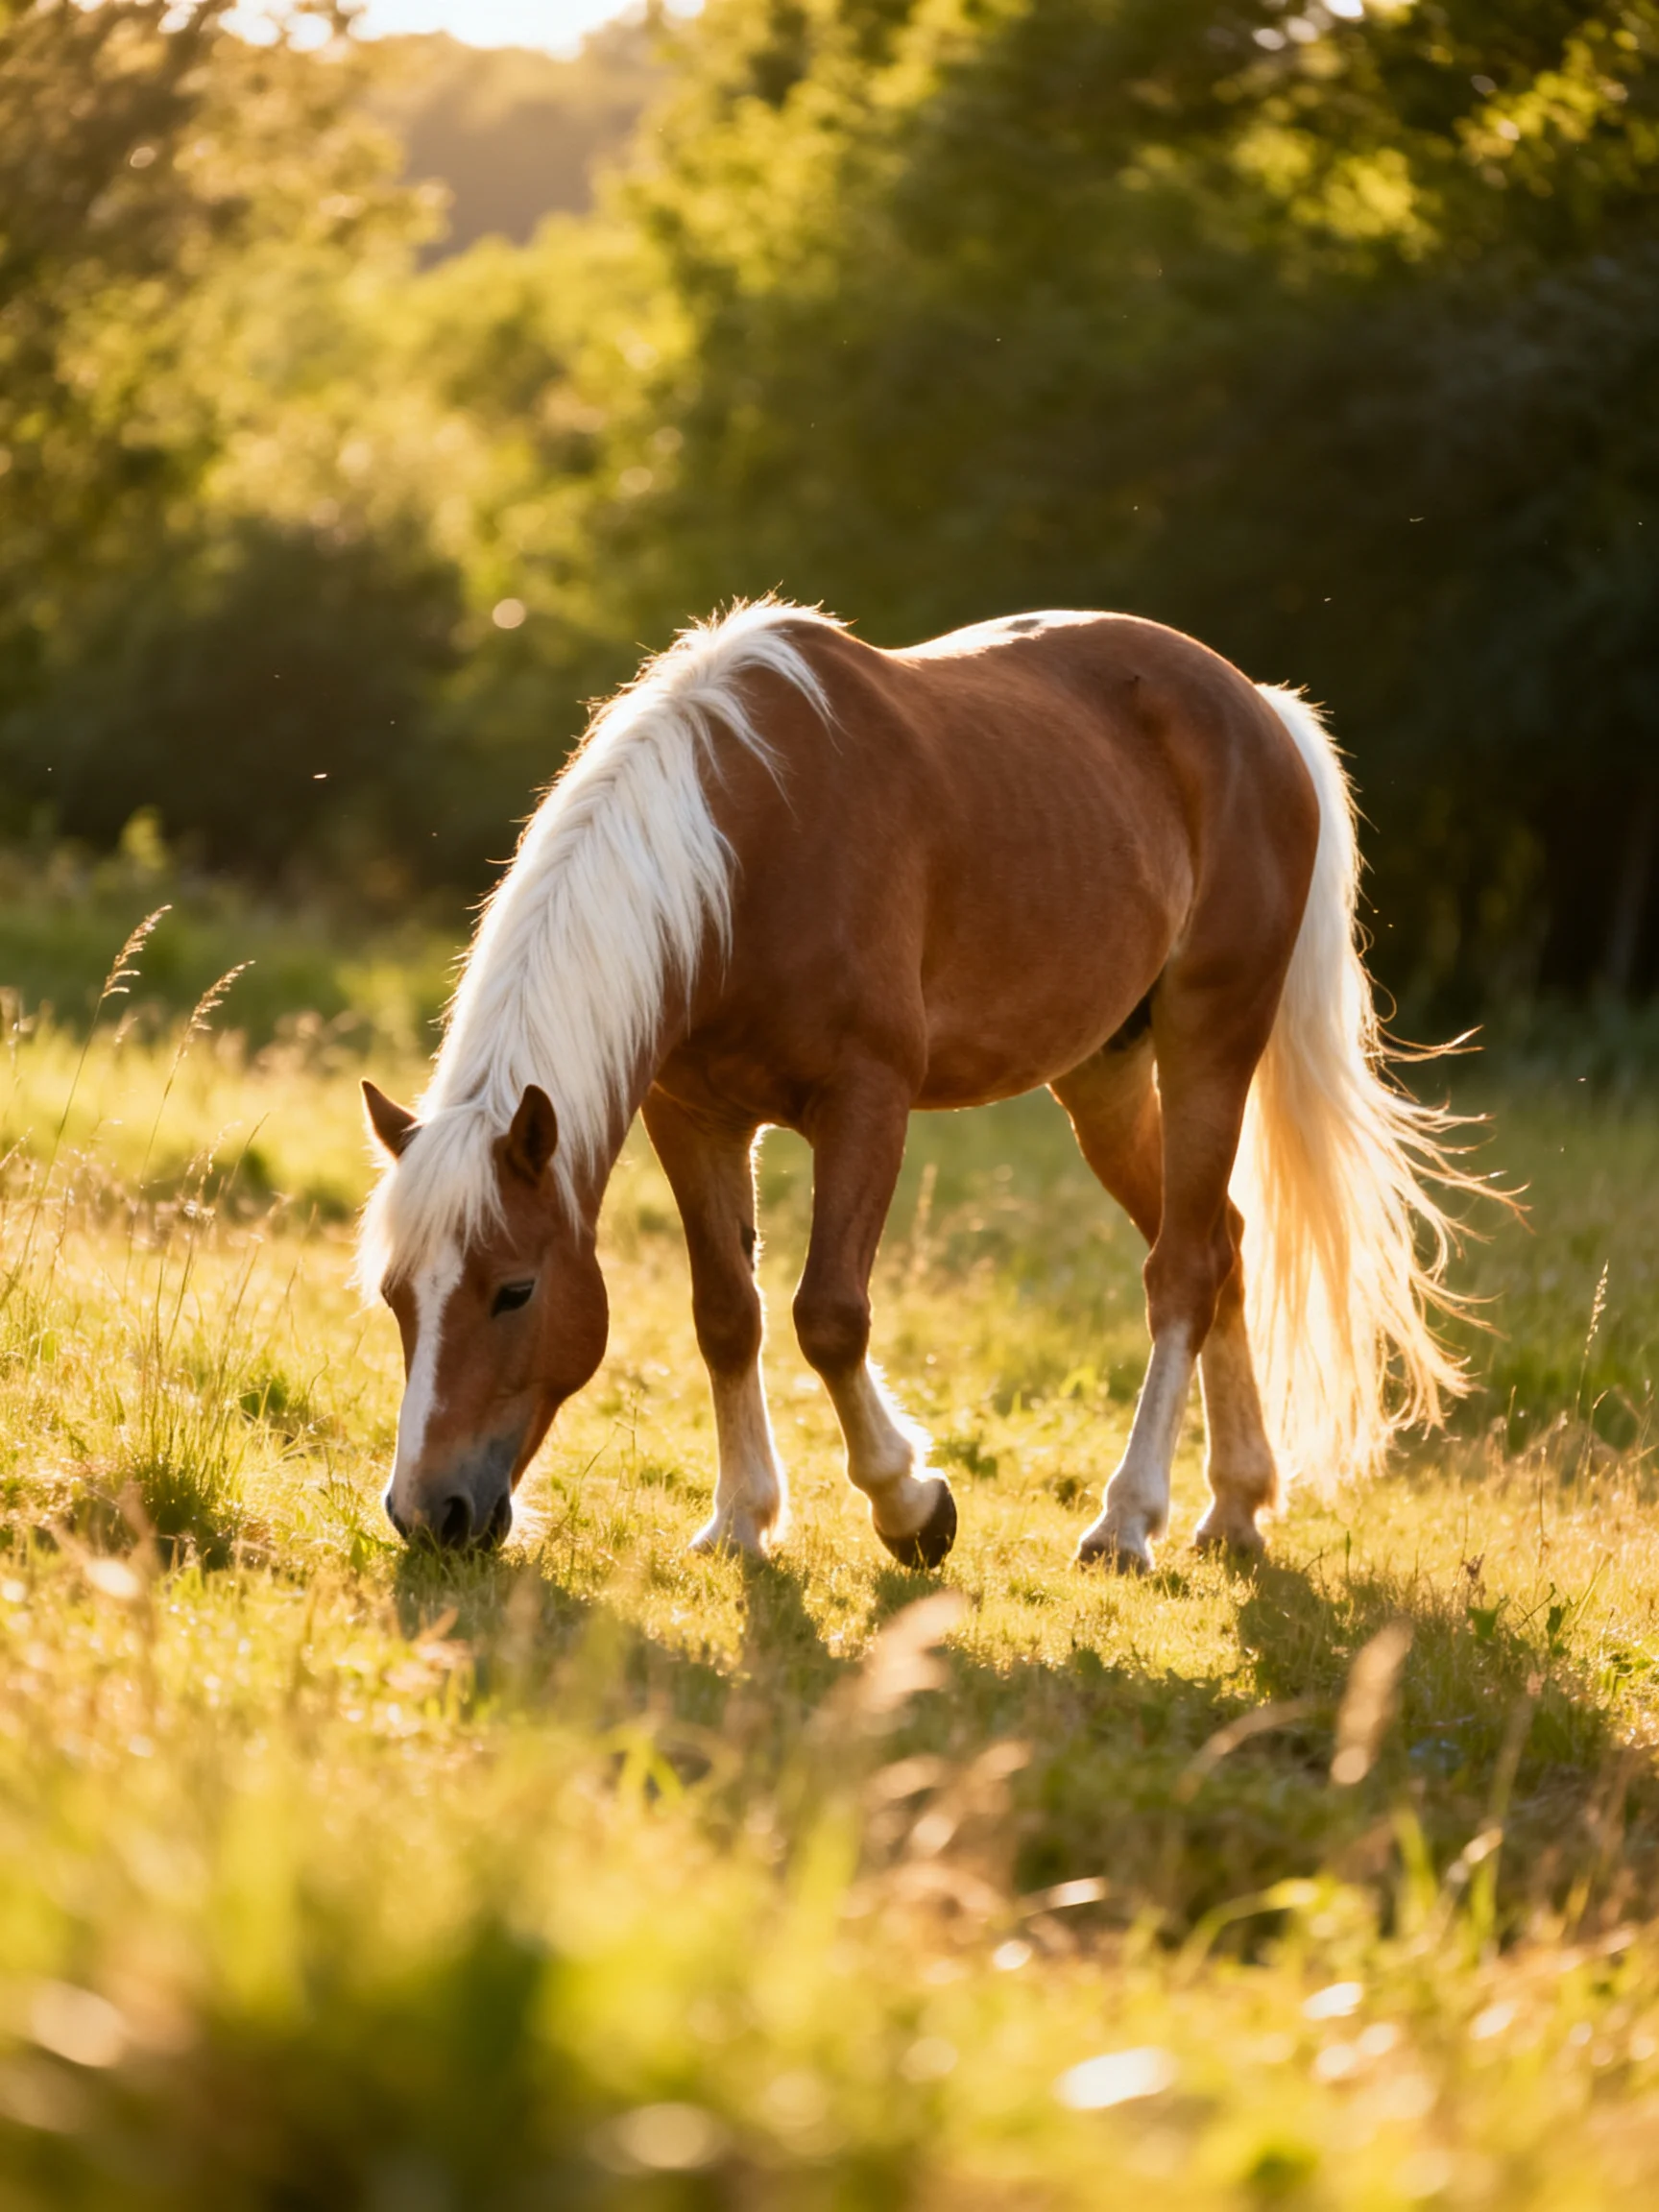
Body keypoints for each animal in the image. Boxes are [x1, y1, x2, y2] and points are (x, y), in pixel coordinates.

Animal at [358, 601, 1473, 1571]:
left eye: (515, 1289)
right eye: (396, 1295)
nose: (429, 1513)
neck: (745, 850)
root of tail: (1261, 708)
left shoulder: (866, 1105)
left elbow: (828, 1316)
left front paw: (910, 1506)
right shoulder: (694, 1117)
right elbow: (726, 1314)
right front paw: (742, 1520)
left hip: (1212, 1040)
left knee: (1184, 1270)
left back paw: (1127, 1521)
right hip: (1104, 1080)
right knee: (1224, 1244)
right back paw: (1235, 1506)